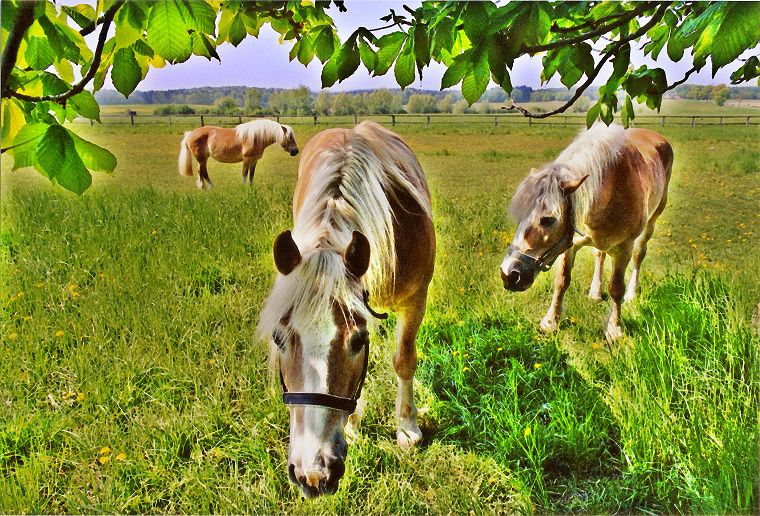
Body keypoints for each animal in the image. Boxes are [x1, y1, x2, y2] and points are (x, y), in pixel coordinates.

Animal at [256, 121, 434, 496]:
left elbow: (404, 360)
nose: (312, 473)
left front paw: (407, 425)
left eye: (357, 342)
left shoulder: (416, 298)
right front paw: (353, 422)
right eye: (278, 340)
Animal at [502, 124, 672, 342]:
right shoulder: (568, 244)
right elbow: (561, 281)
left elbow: (616, 288)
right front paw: (551, 321)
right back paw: (595, 292)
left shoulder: (624, 248)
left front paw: (615, 328)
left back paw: (632, 294)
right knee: (599, 254)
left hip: (652, 221)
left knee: (639, 255)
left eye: (548, 220)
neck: (611, 189)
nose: (508, 274)